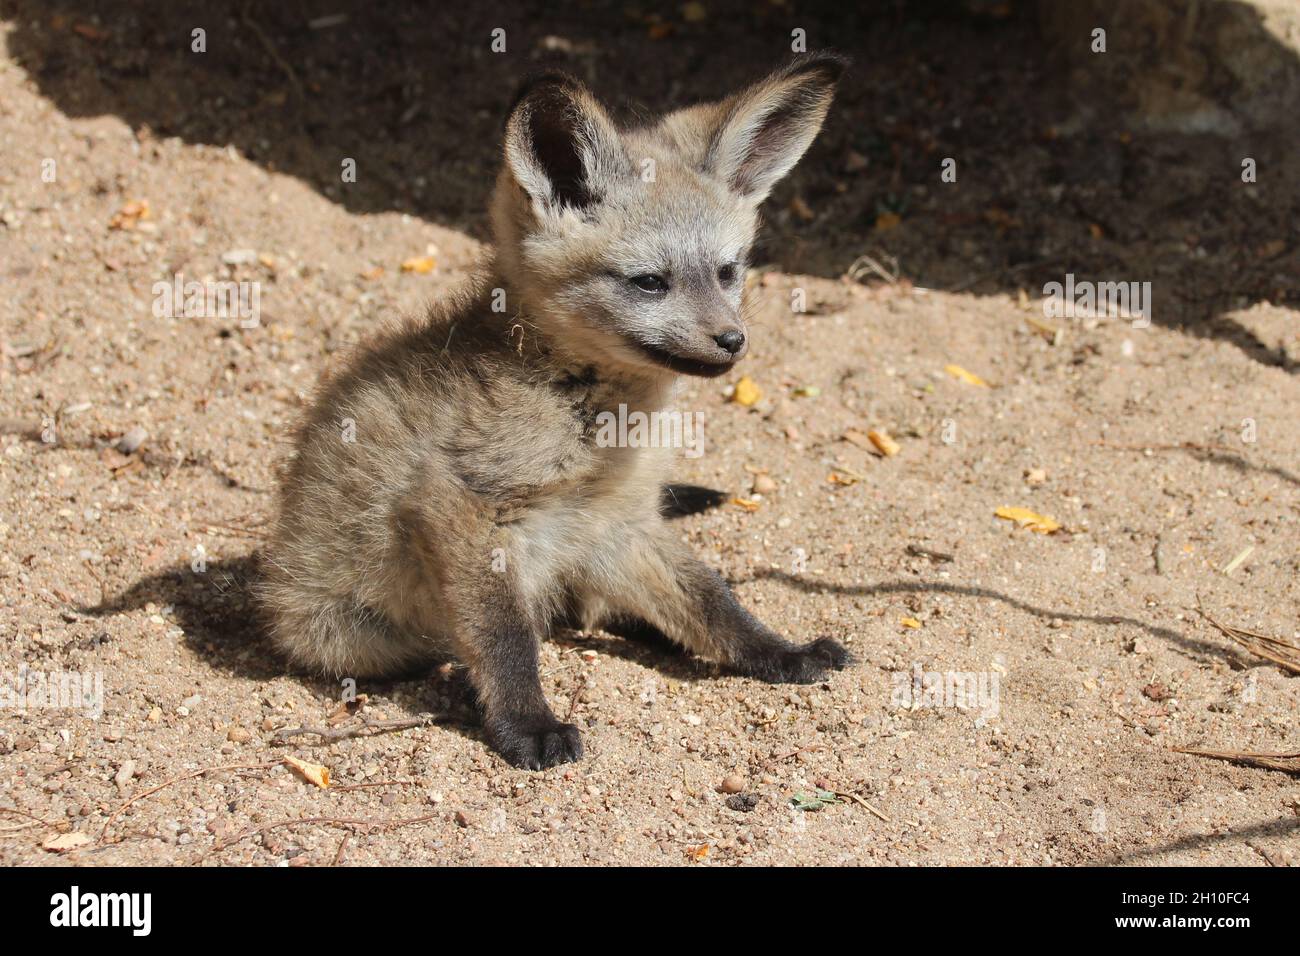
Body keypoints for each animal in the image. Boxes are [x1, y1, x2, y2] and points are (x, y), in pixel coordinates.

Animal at [259, 54, 850, 769]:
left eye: (728, 271)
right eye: (649, 282)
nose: (732, 341)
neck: (588, 420)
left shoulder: (619, 522)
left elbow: (714, 601)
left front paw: (779, 653)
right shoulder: (461, 509)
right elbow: (506, 638)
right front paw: (527, 723)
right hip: (347, 635)